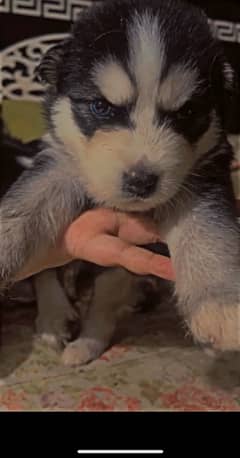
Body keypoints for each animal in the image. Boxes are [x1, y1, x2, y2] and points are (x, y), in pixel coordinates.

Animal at [0, 0, 240, 364]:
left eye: (185, 113)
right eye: (101, 107)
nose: (142, 182)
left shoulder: (205, 172)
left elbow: (206, 230)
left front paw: (220, 307)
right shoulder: (59, 160)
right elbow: (27, 202)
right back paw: (56, 320)